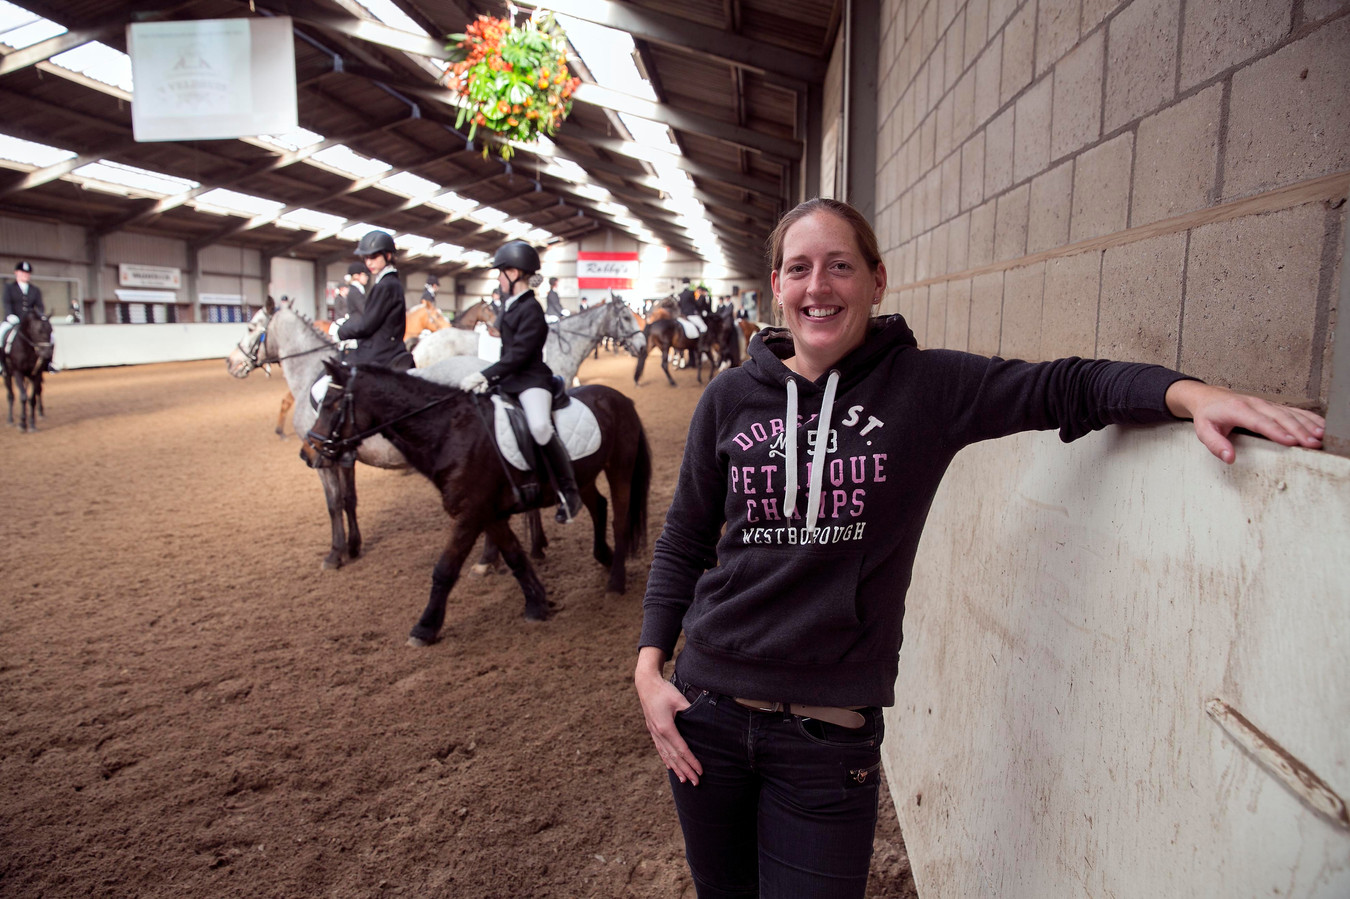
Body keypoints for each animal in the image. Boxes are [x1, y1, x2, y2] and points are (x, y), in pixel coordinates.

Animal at [313, 356, 656, 645]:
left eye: (331, 404)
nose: (315, 452)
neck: (449, 431)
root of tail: (619, 397)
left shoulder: (470, 514)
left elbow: (445, 569)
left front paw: (424, 628)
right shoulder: (488, 514)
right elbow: (515, 557)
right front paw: (537, 604)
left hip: (620, 467)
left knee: (619, 520)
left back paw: (615, 583)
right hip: (584, 476)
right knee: (598, 507)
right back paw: (604, 557)